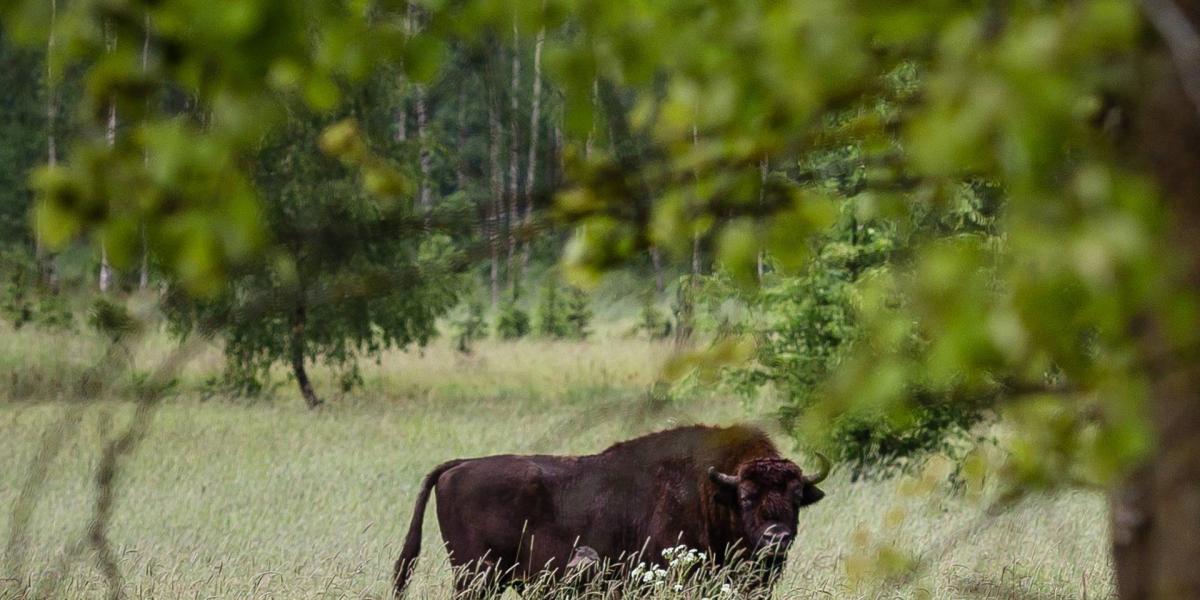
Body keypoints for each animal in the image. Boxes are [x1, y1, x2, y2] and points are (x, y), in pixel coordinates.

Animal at [391, 424, 825, 597]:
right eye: (748, 497)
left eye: (796, 498)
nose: (777, 538)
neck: (714, 492)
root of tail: (459, 466)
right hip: (476, 577)